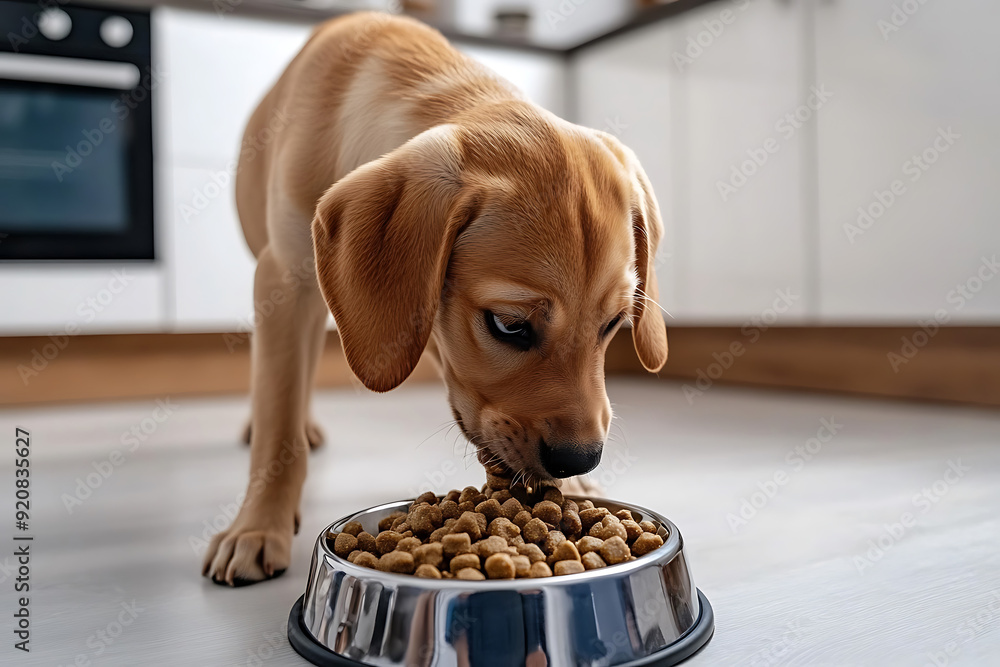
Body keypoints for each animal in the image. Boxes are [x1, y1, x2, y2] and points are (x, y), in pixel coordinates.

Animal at [203, 9, 668, 584]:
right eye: (508, 325)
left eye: (613, 326)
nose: (579, 459)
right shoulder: (282, 281)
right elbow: (277, 424)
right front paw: (256, 526)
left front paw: (573, 490)